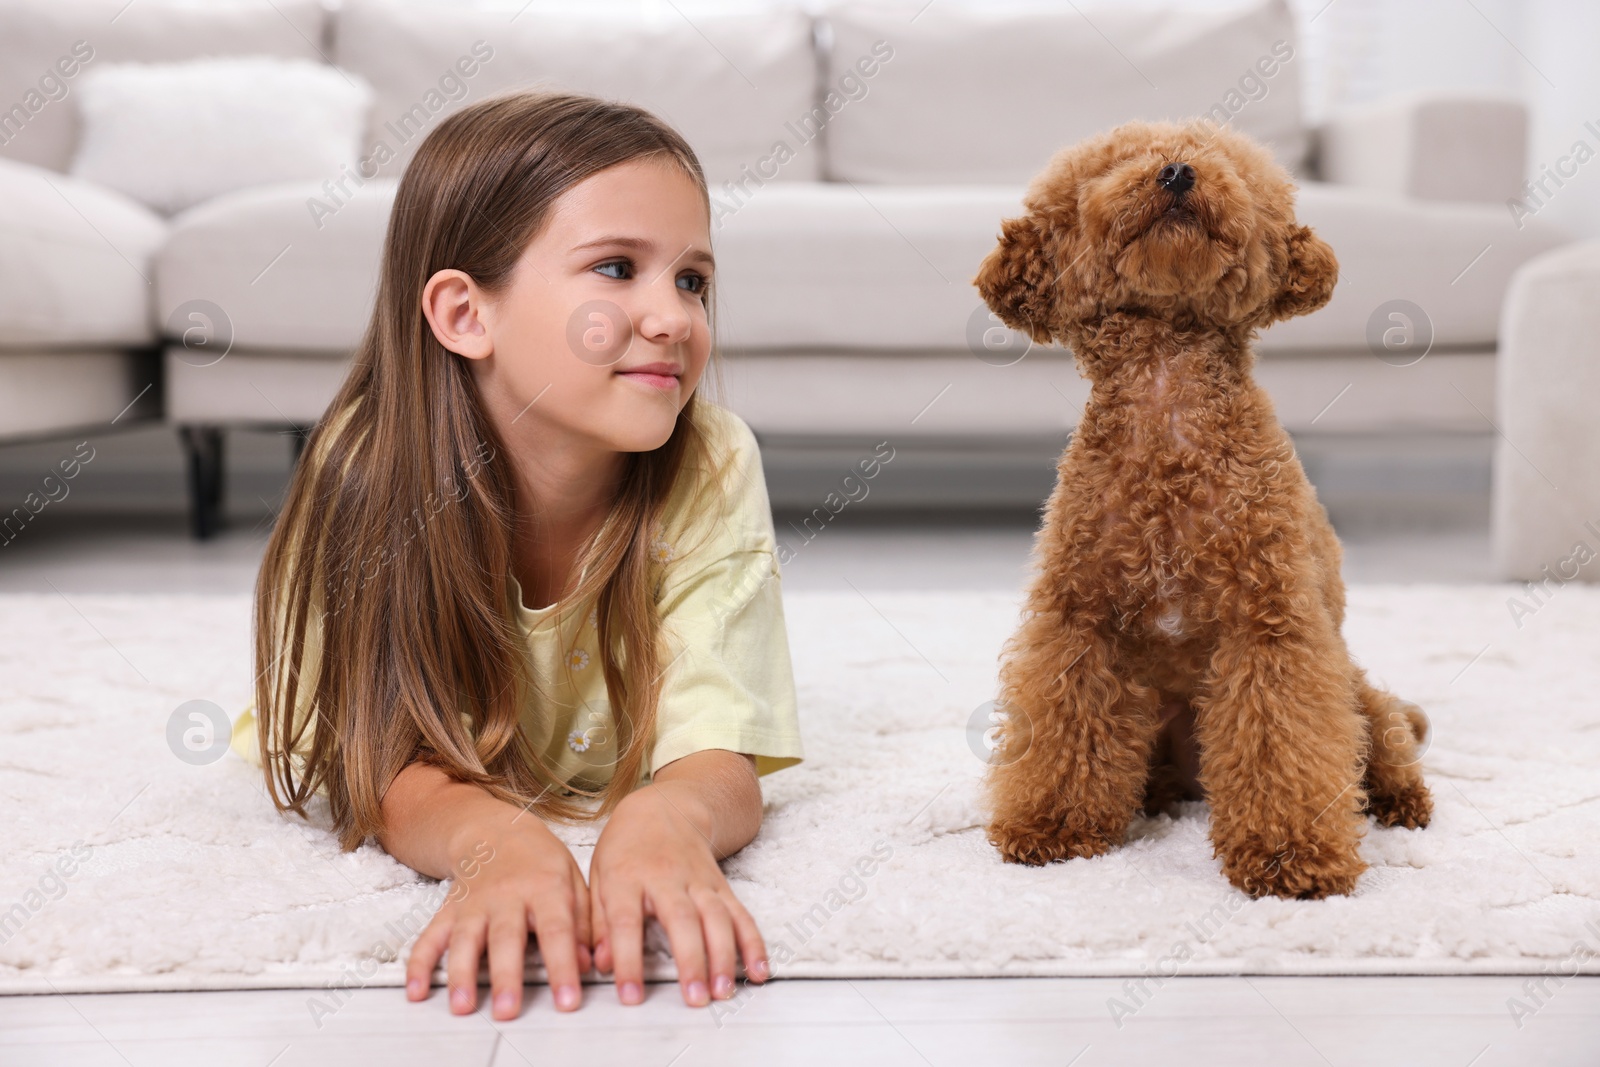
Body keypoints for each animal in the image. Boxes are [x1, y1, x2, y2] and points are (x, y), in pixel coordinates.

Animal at [972, 119, 1440, 902]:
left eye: (1226, 164)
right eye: (1113, 167)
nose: (1177, 172)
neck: (1168, 396)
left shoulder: (1273, 624)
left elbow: (1281, 739)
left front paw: (1289, 855)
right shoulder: (1079, 619)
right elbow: (1067, 724)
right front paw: (1053, 827)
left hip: (1352, 685)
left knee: (1387, 733)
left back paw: (1402, 801)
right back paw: (1158, 799)